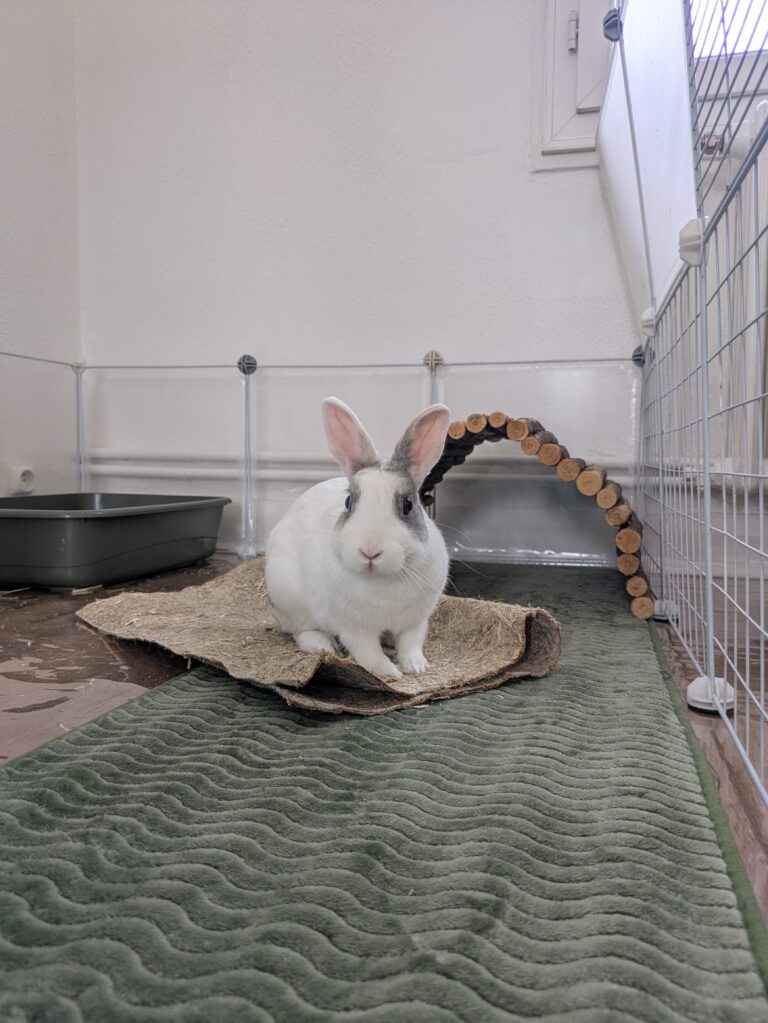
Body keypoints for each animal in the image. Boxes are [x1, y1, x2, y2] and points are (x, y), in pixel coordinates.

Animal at [265, 396, 450, 680]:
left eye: (408, 504)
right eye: (349, 502)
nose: (370, 551)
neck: (383, 581)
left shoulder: (415, 622)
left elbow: (411, 643)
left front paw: (416, 667)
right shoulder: (354, 629)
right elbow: (368, 652)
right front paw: (389, 673)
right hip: (289, 597)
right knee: (300, 631)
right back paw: (322, 645)